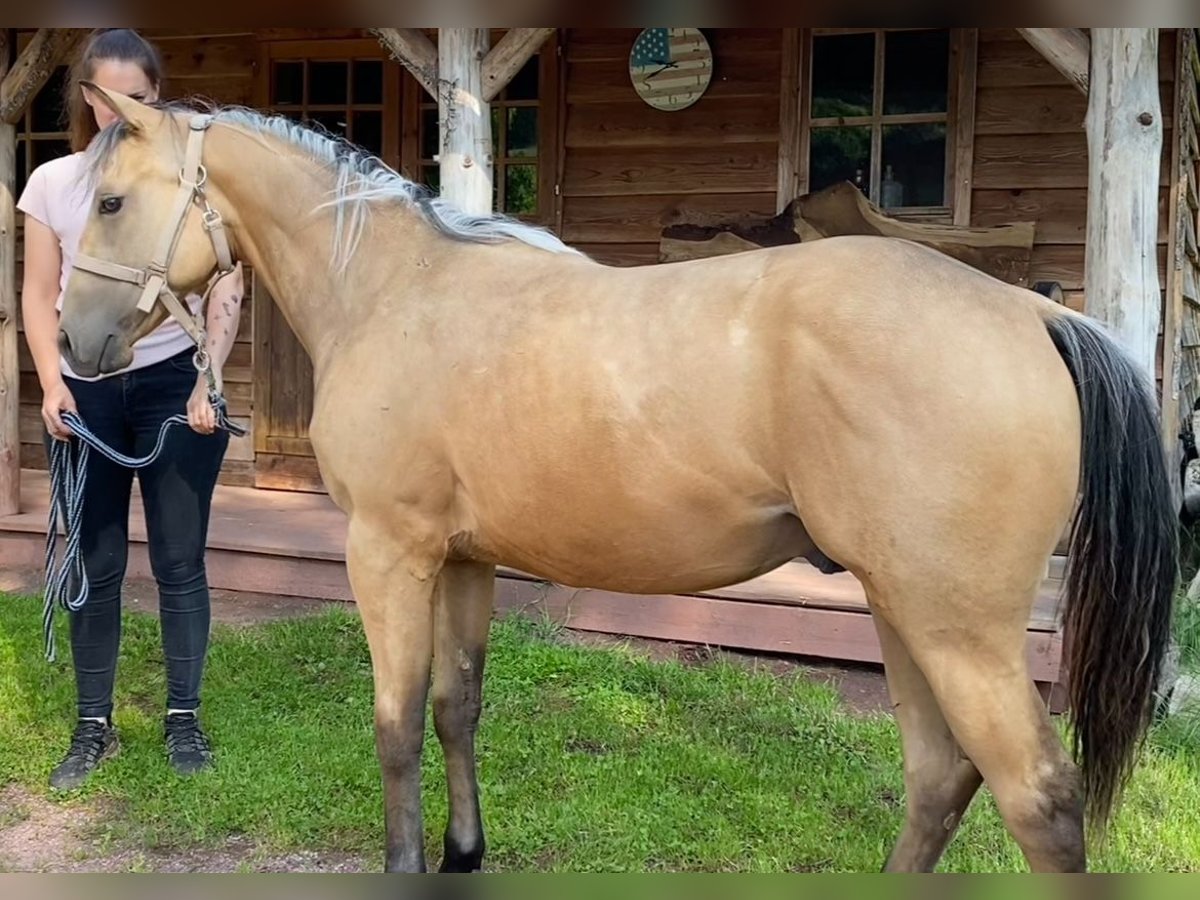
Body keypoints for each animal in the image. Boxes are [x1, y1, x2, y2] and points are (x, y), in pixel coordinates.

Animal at [51, 86, 1176, 873]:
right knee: (941, 780)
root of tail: (1036, 312)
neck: (395, 291)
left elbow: (396, 727)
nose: (70, 345)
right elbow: (457, 709)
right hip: (906, 611)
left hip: (957, 631)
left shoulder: (389, 554)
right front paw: (464, 855)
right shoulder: (464, 561)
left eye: (109, 199)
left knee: (1036, 801)